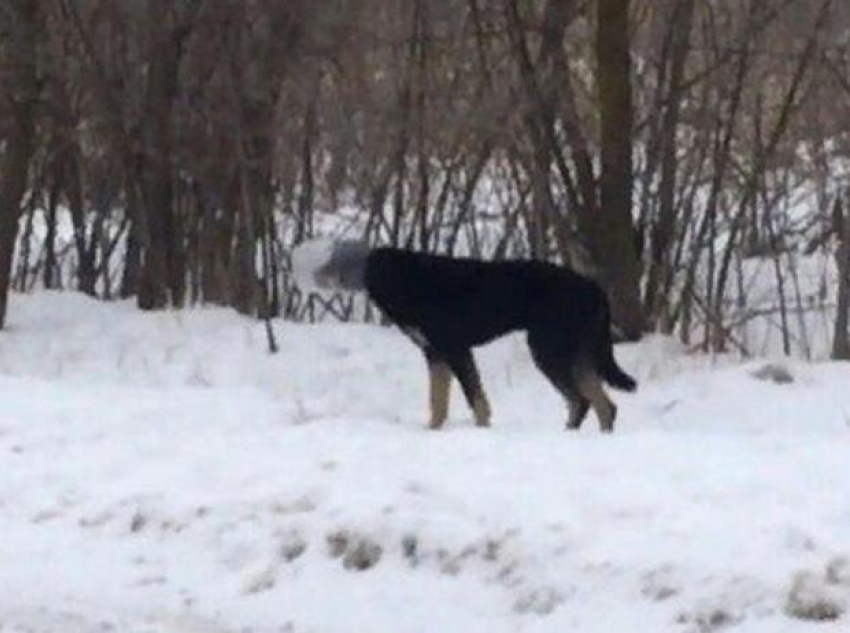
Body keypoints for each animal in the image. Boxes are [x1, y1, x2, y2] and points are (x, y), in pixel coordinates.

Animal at [314, 241, 636, 430]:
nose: (317, 273)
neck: (410, 280)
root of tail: (594, 288)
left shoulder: (455, 349)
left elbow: (476, 400)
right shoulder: (436, 354)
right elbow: (438, 401)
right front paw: (433, 431)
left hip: (549, 350)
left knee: (586, 401)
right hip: (571, 351)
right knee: (599, 404)